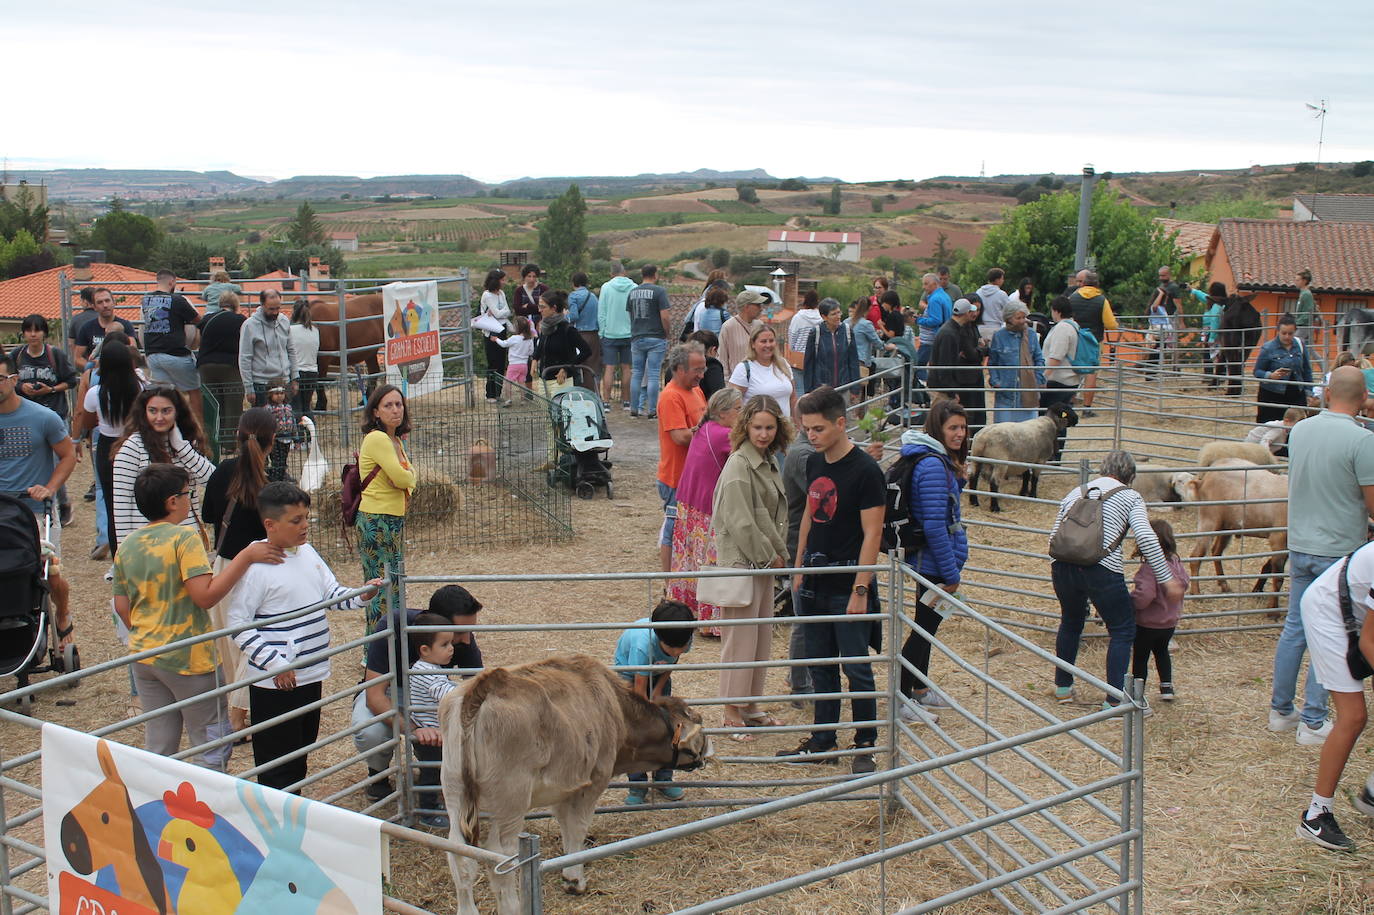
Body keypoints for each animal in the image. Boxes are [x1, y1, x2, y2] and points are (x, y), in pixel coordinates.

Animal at [439, 651, 714, 906]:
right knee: (500, 857)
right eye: (698, 722)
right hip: (510, 800)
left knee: (459, 858)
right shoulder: (594, 781)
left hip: (455, 791)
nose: (708, 749)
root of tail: (487, 684)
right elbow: (578, 827)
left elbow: (565, 825)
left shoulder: (564, 788)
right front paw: (574, 879)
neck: (617, 709)